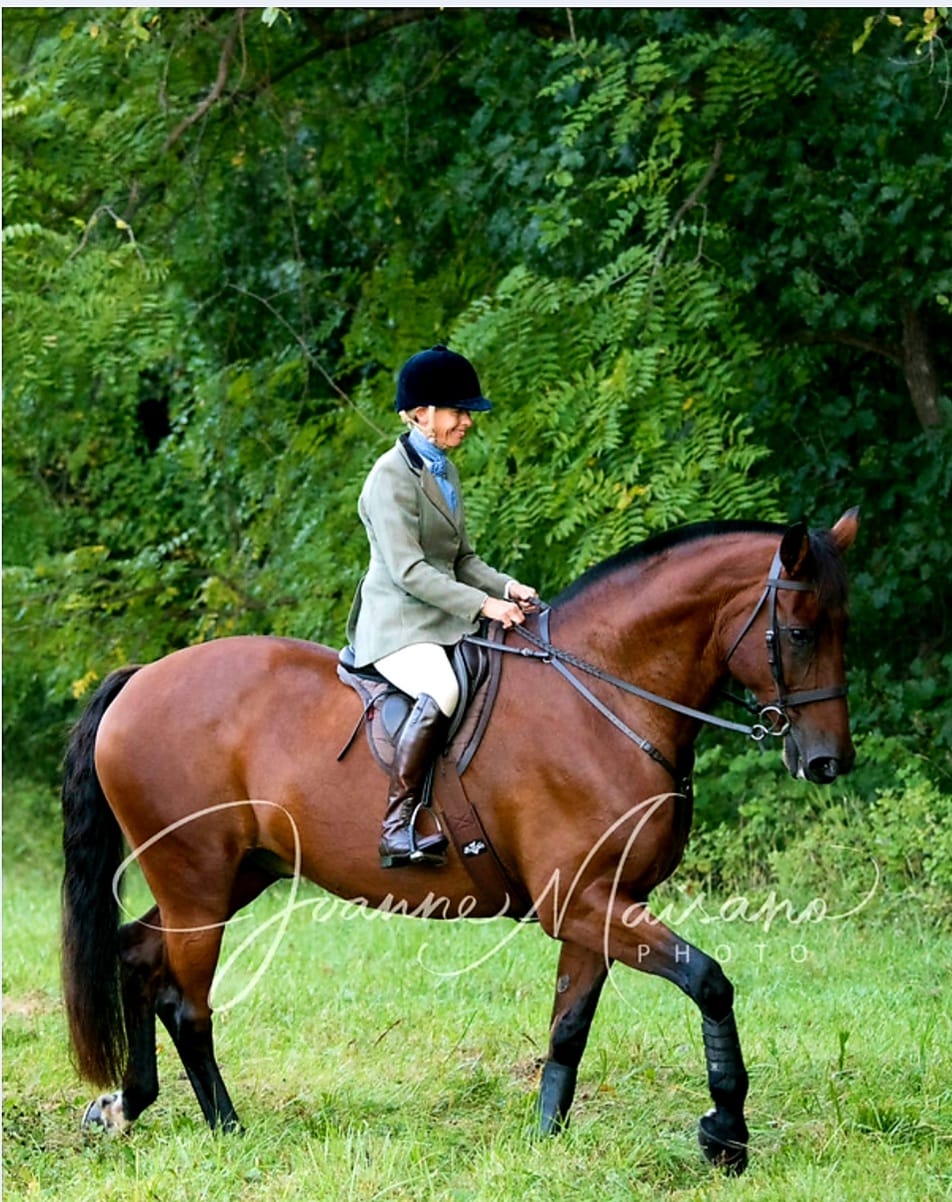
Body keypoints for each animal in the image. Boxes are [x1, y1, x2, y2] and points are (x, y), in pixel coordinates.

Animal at [61, 510, 858, 1173]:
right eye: (799, 633)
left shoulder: (601, 903)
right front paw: (725, 1135)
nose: (828, 763)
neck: (606, 698)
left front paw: (546, 1140)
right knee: (186, 1003)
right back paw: (228, 1129)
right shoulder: (582, 901)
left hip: (233, 874)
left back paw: (126, 1105)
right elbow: (709, 981)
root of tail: (142, 679)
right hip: (196, 881)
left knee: (137, 955)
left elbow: (569, 1026)